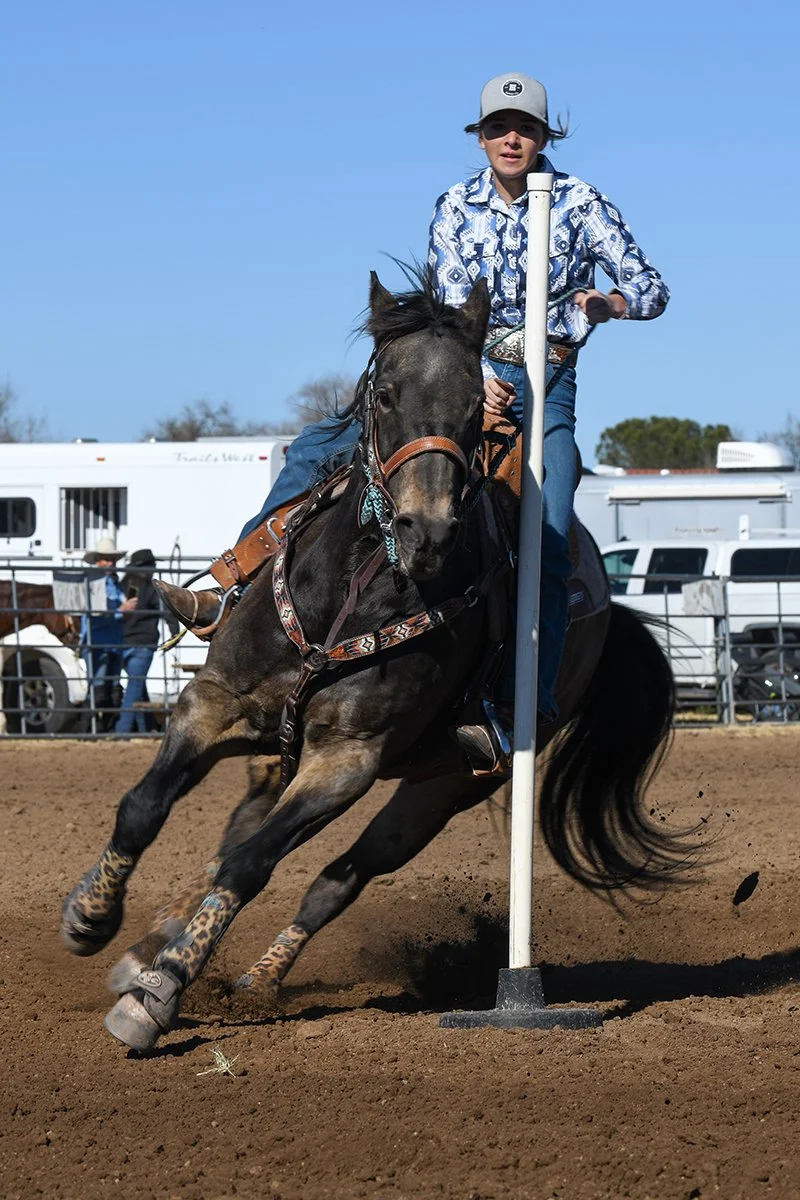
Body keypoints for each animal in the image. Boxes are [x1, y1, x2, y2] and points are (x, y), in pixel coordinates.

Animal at [61, 272, 693, 1051]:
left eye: (470, 403)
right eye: (385, 393)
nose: (427, 532)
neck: (351, 587)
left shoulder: (347, 760)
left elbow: (254, 864)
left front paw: (160, 994)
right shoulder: (214, 703)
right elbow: (145, 807)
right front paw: (91, 917)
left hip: (440, 790)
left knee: (335, 877)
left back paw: (248, 977)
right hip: (277, 750)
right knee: (239, 829)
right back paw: (151, 946)